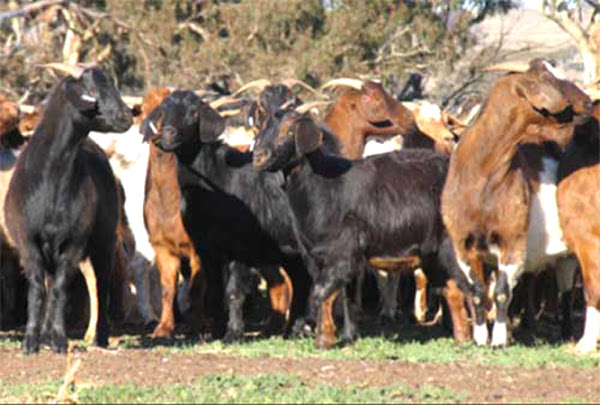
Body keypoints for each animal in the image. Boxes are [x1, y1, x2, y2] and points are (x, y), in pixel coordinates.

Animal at [4, 65, 132, 350]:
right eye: (92, 89)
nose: (127, 116)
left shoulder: (73, 242)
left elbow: (61, 289)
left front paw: (60, 340)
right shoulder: (29, 242)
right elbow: (38, 288)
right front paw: (31, 341)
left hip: (105, 239)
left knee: (102, 282)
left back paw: (100, 337)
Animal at [141, 89, 310, 340]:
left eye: (193, 113)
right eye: (164, 110)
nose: (167, 135)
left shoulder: (237, 247)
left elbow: (233, 291)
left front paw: (233, 333)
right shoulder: (206, 248)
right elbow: (212, 291)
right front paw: (215, 332)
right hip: (288, 250)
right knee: (300, 280)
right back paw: (292, 330)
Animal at [253, 109, 468, 348]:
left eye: (290, 130)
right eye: (263, 127)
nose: (258, 157)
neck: (323, 187)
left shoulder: (341, 252)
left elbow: (322, 293)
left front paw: (324, 340)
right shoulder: (317, 257)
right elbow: (338, 296)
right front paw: (342, 336)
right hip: (432, 256)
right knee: (452, 290)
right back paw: (461, 338)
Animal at [440, 57, 592, 348]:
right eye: (549, 78)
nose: (589, 101)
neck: (480, 177)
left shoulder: (512, 240)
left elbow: (501, 291)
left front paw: (499, 339)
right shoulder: (463, 244)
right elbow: (477, 291)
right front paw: (480, 338)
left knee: (569, 290)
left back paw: (569, 334)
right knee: (565, 285)